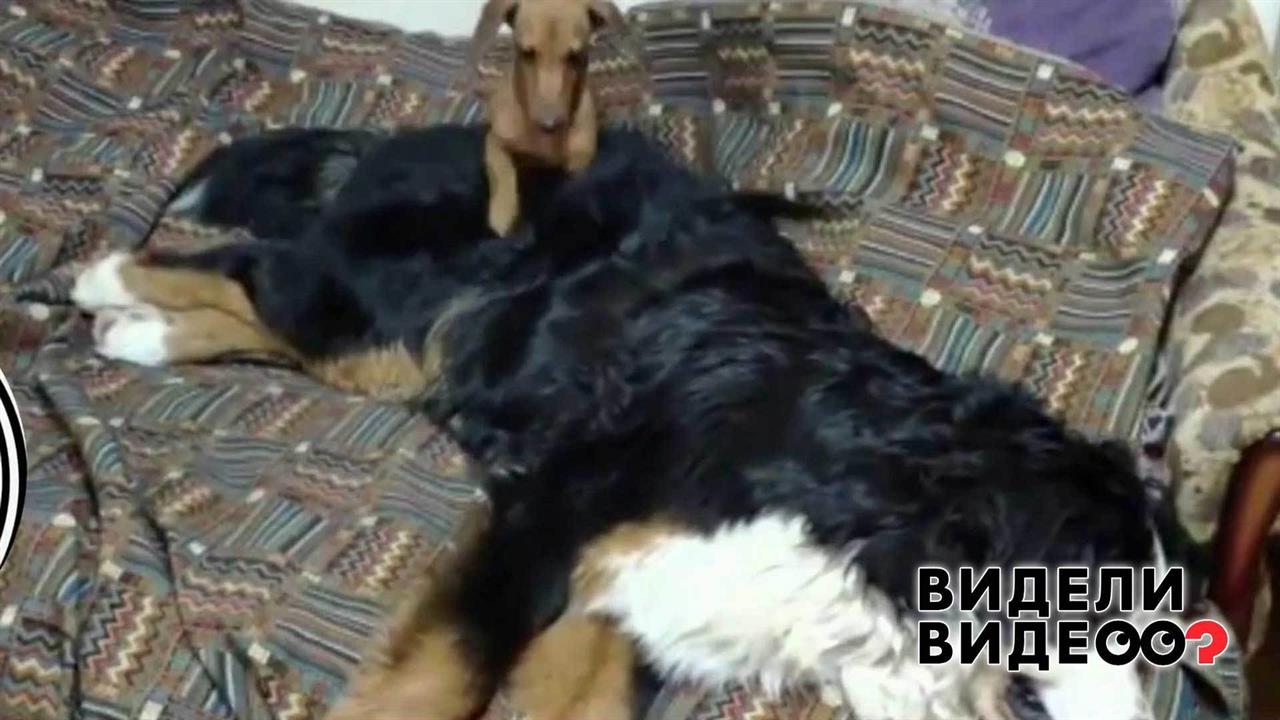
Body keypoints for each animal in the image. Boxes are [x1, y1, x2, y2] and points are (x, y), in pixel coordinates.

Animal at [72, 125, 1195, 720]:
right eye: (1098, 617)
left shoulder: (641, 597)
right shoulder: (554, 511)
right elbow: (445, 674)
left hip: (405, 352)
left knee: (263, 310)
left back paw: (138, 328)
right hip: (385, 304)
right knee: (249, 271)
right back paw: (107, 283)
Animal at [468, 0, 624, 236]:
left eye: (574, 56)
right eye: (527, 53)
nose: (549, 124)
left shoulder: (579, 160)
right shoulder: (494, 141)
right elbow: (502, 171)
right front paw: (502, 212)